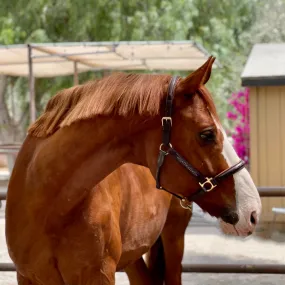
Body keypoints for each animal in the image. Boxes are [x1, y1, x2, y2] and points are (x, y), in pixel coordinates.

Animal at [5, 56, 260, 282]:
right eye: (207, 134)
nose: (253, 211)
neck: (49, 206)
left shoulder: (98, 276)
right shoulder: (27, 277)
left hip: (173, 238)